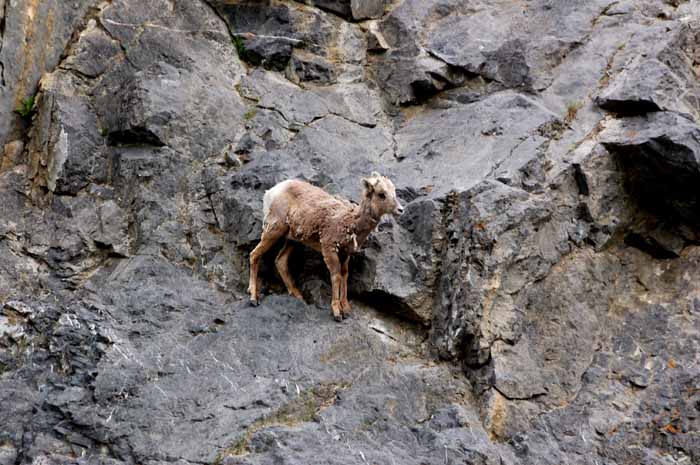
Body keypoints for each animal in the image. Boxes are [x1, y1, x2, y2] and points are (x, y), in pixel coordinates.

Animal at [249, 172, 404, 320]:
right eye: (381, 194)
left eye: (394, 191)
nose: (401, 210)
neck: (350, 223)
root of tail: (271, 192)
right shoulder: (329, 248)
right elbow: (335, 276)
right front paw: (337, 312)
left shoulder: (345, 254)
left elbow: (344, 276)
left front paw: (346, 309)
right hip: (274, 228)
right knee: (254, 254)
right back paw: (253, 298)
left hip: (292, 239)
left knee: (280, 261)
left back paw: (298, 296)